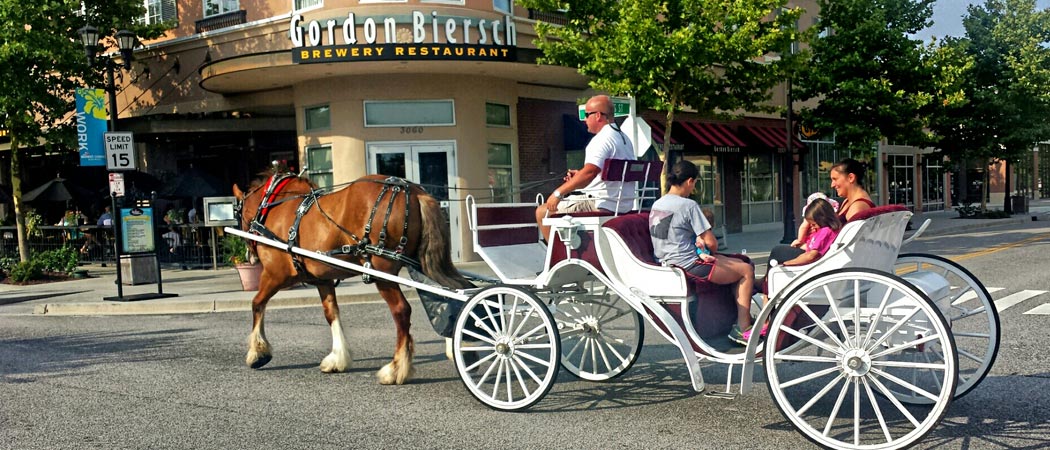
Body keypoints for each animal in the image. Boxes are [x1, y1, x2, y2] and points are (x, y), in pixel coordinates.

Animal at [235, 172, 476, 381]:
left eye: (238, 213)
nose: (250, 257)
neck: (276, 206)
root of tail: (415, 192)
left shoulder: (275, 274)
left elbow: (257, 304)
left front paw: (257, 353)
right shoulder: (322, 280)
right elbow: (331, 313)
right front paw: (337, 358)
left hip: (383, 272)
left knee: (402, 311)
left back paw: (396, 369)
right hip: (423, 262)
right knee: (453, 294)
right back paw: (461, 346)